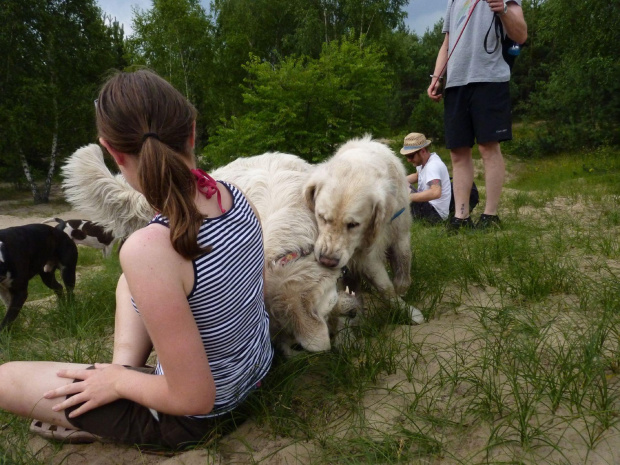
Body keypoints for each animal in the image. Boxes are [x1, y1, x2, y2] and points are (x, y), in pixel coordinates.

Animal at [302, 134, 424, 322]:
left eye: (353, 224)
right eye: (321, 217)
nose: (327, 261)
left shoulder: (399, 234)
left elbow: (401, 266)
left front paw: (406, 303)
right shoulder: (359, 257)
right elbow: (381, 285)